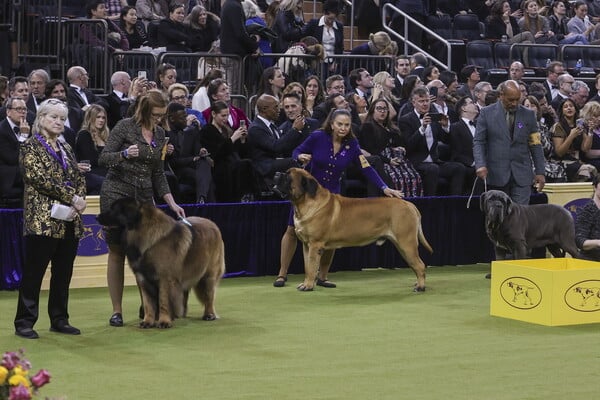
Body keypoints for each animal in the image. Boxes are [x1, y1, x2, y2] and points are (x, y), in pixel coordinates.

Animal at [97, 198, 224, 330]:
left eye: (114, 209)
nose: (96, 217)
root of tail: (212, 224)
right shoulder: (143, 279)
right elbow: (148, 303)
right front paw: (148, 321)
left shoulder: (165, 279)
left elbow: (163, 301)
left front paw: (164, 321)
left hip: (208, 276)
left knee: (209, 296)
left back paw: (209, 314)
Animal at [274, 167, 434, 292]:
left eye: (288, 176)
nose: (276, 173)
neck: (305, 203)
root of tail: (409, 205)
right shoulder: (307, 246)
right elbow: (308, 267)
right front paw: (306, 283)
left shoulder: (315, 245)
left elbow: (312, 266)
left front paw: (307, 286)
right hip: (402, 246)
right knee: (416, 265)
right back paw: (418, 283)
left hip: (406, 243)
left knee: (420, 265)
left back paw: (420, 287)